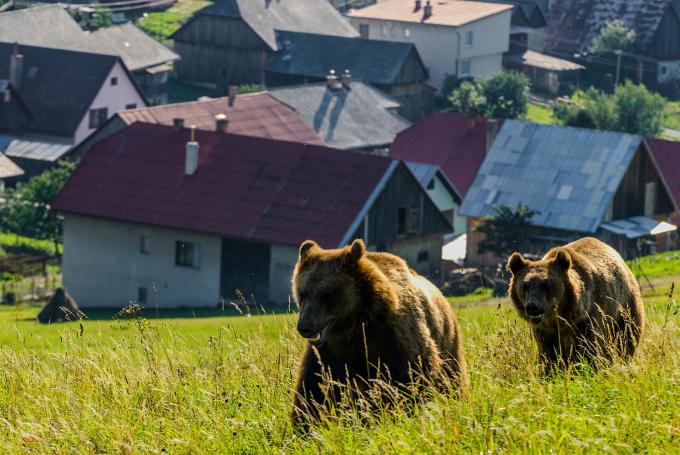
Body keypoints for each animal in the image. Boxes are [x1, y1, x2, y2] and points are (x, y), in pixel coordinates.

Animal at [286, 239, 468, 428]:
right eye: (303, 293)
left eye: (327, 295)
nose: (305, 326)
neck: (355, 323)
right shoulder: (331, 350)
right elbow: (315, 384)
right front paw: (306, 422)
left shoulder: (394, 337)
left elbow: (413, 374)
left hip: (448, 341)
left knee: (452, 377)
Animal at [508, 237, 644, 372]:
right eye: (524, 286)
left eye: (546, 285)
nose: (532, 306)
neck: (559, 318)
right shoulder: (544, 332)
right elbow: (549, 356)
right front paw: (551, 371)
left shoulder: (586, 319)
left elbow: (588, 350)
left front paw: (587, 369)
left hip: (623, 306)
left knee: (627, 337)